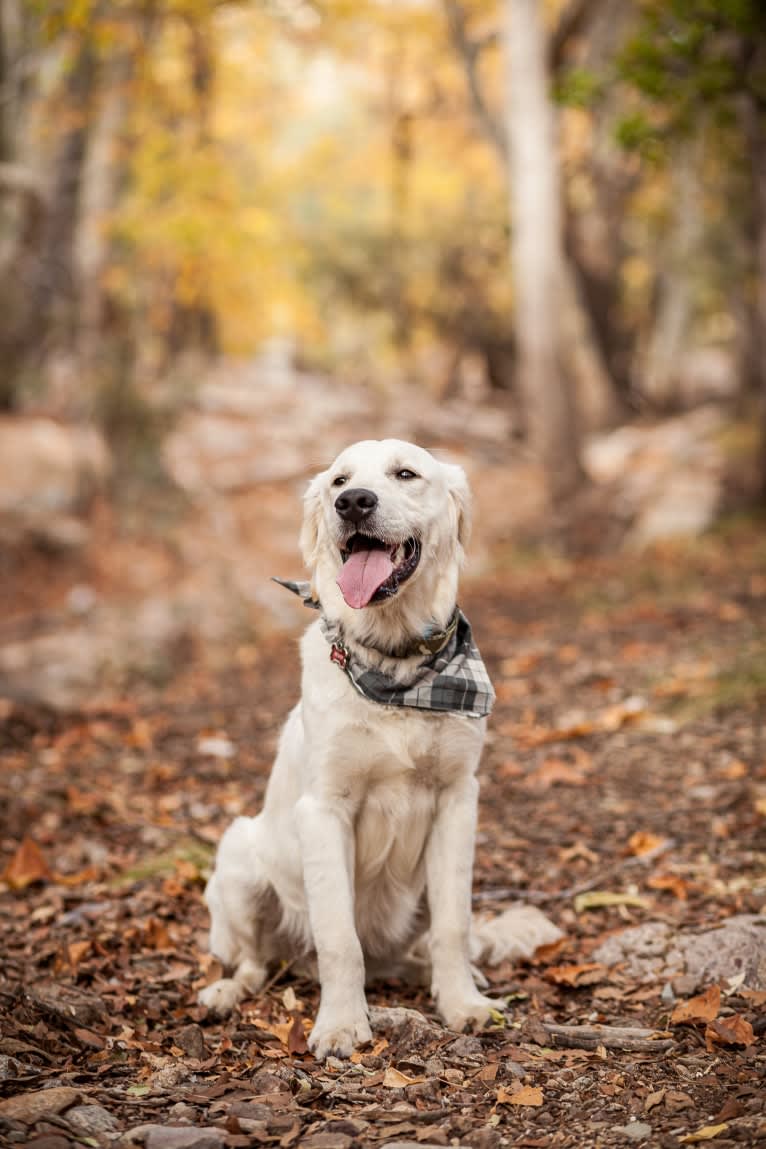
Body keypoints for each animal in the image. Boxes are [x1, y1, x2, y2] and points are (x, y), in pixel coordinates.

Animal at [197, 438, 558, 1057]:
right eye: (339, 480)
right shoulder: (324, 810)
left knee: (416, 949)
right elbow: (340, 939)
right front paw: (342, 1024)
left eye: (405, 474)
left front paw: (463, 1004)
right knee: (254, 964)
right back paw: (225, 994)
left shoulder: (458, 801)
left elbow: (454, 926)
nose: (353, 502)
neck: (398, 666)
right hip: (238, 860)